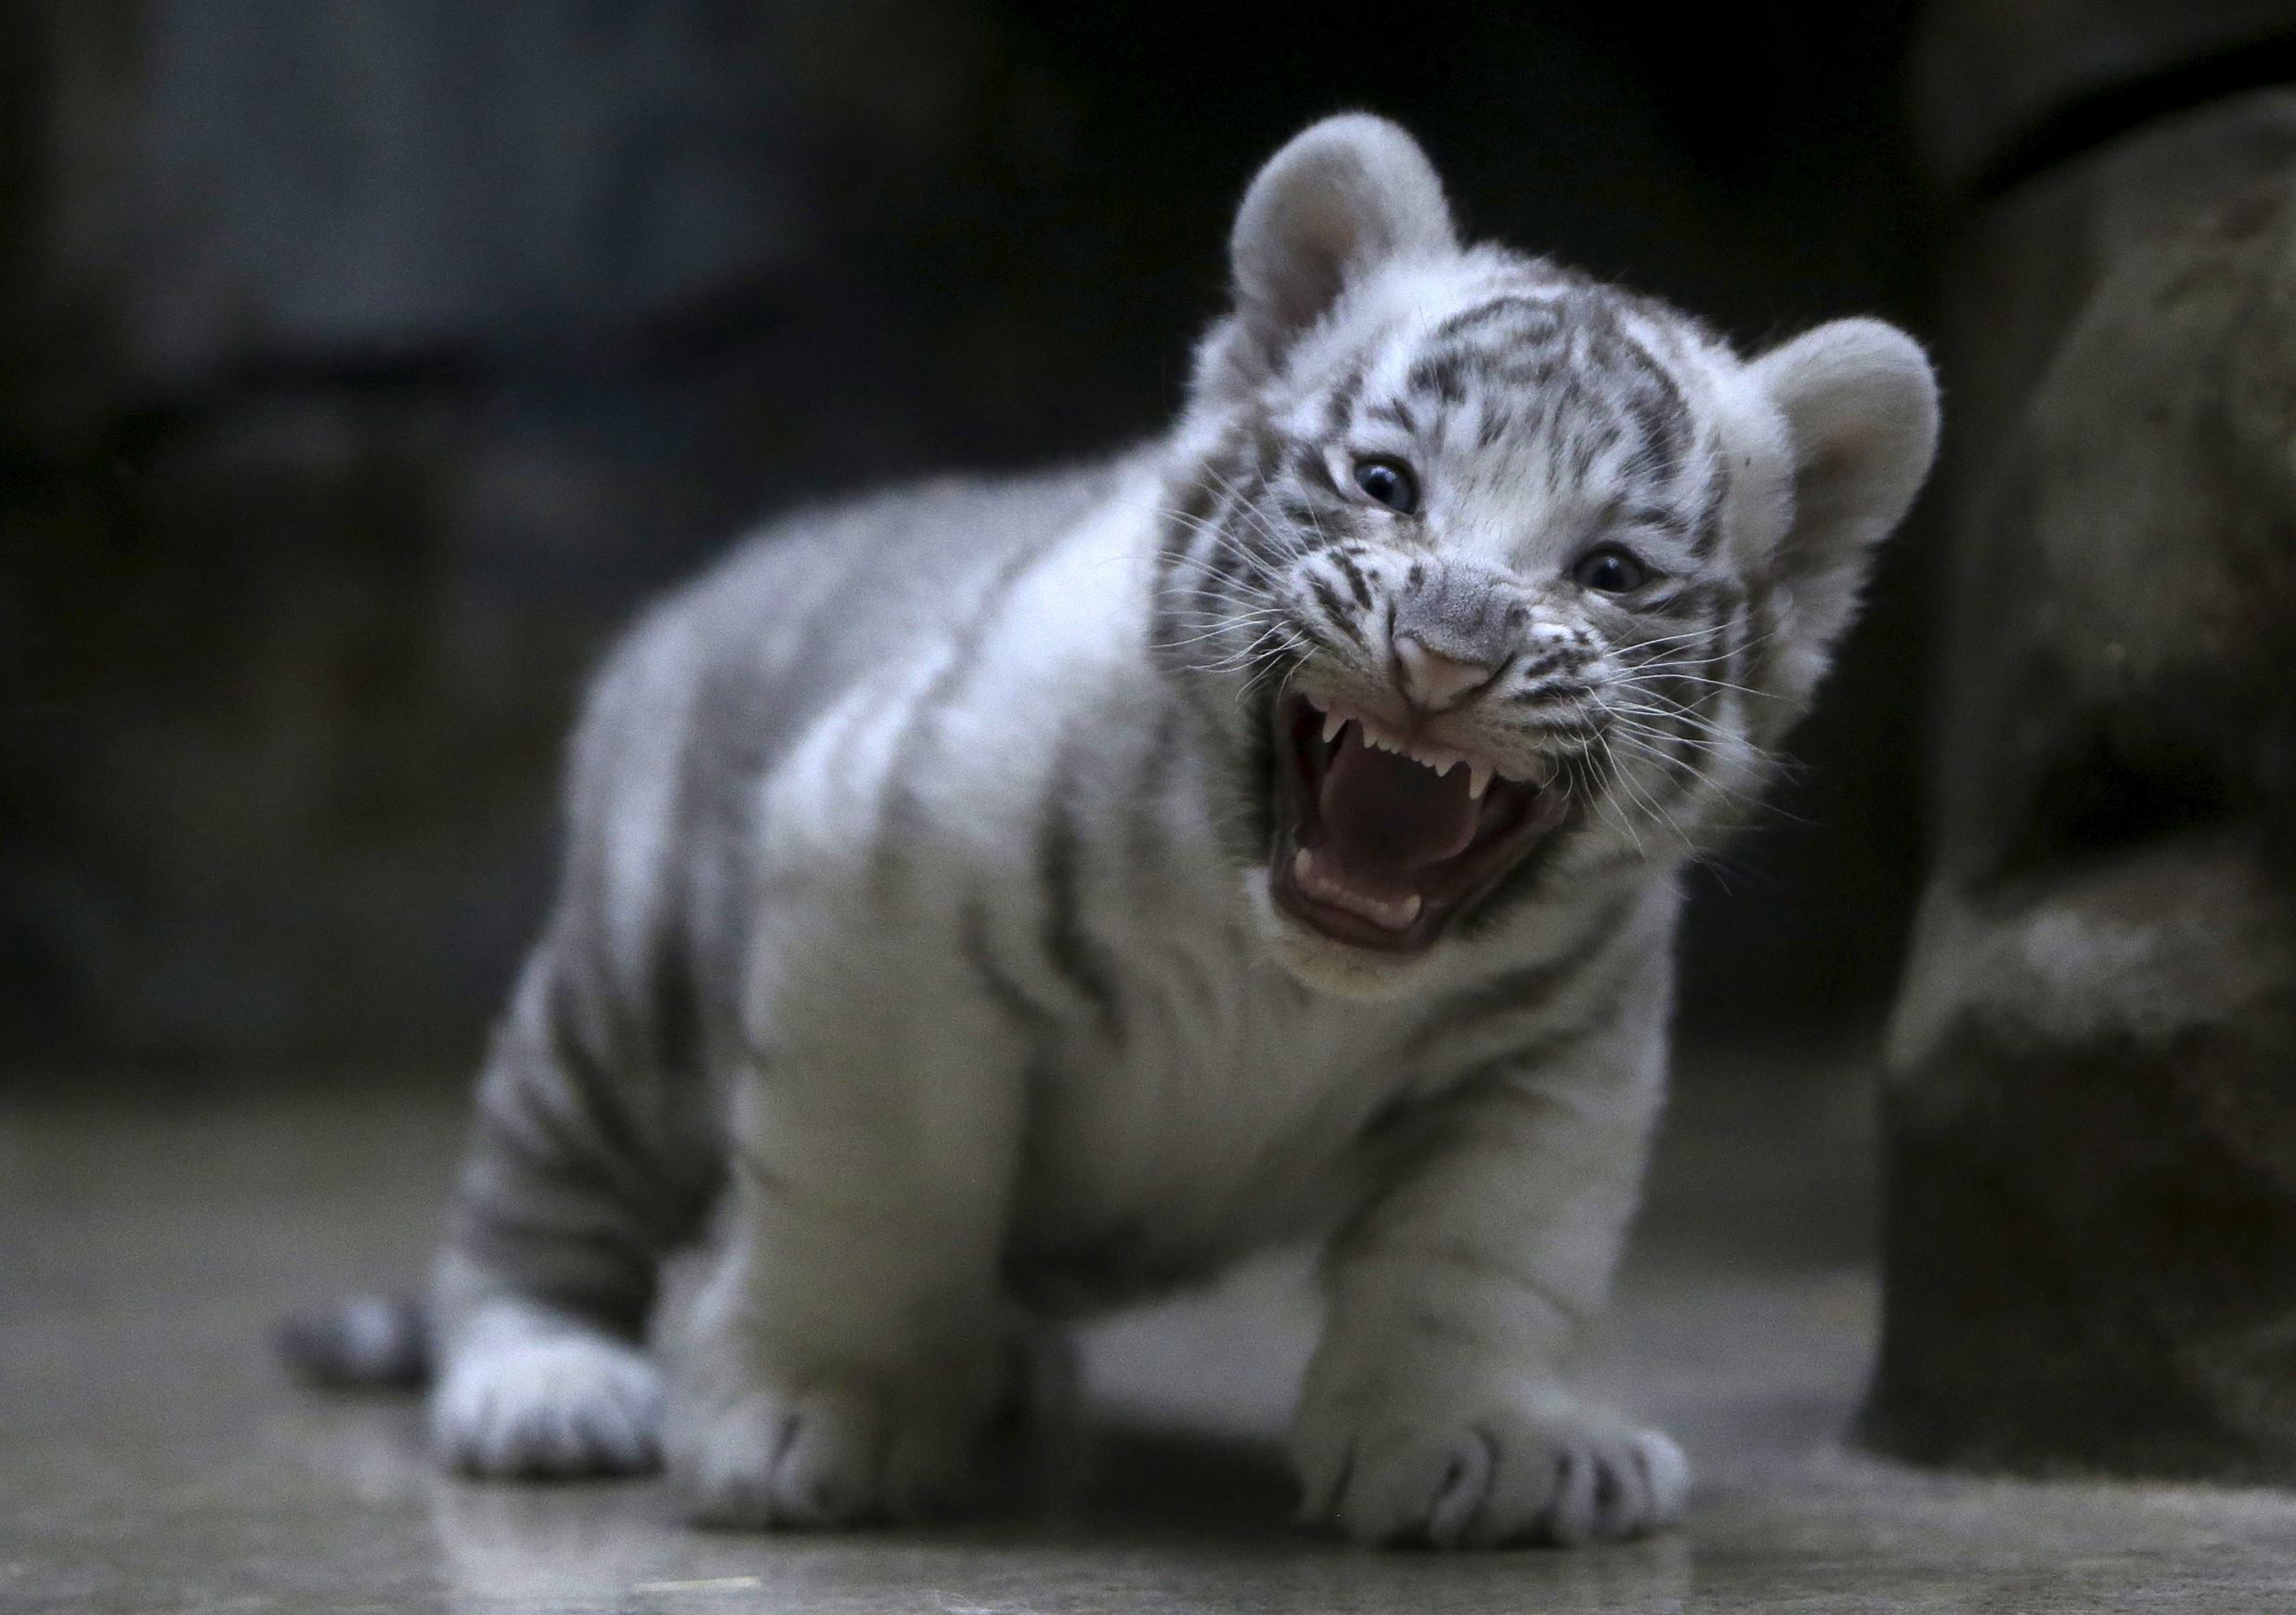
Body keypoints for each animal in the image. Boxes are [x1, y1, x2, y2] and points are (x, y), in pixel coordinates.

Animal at [281, 112, 1937, 1548]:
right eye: (1385, 482)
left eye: (1609, 571)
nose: (1450, 647)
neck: (1284, 972)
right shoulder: (875, 898)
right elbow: (873, 1189)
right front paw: (816, 1413)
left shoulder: (1559, 1052)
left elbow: (1484, 1253)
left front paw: (1488, 1443)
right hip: (622, 1000)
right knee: (527, 1204)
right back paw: (550, 1383)